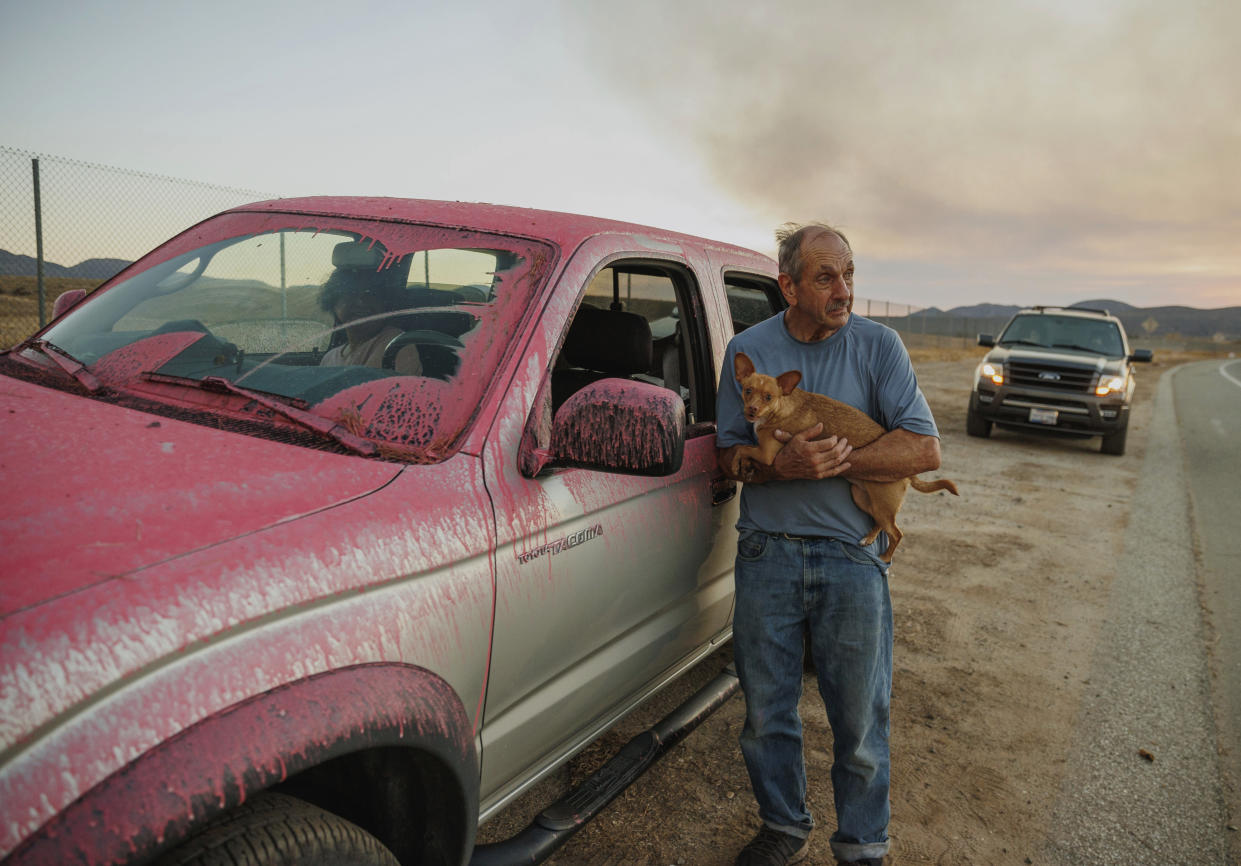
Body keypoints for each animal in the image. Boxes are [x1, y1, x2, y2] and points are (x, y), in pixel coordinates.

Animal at [729, 349, 953, 560]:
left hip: (882, 506)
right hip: (863, 499)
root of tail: (909, 475)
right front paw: (742, 464)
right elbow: (744, 448)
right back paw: (868, 538)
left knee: (897, 534)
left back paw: (884, 556)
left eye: (768, 397)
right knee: (882, 525)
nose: (752, 409)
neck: (781, 406)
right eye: (748, 391)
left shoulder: (767, 454)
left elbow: (742, 448)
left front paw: (735, 462)